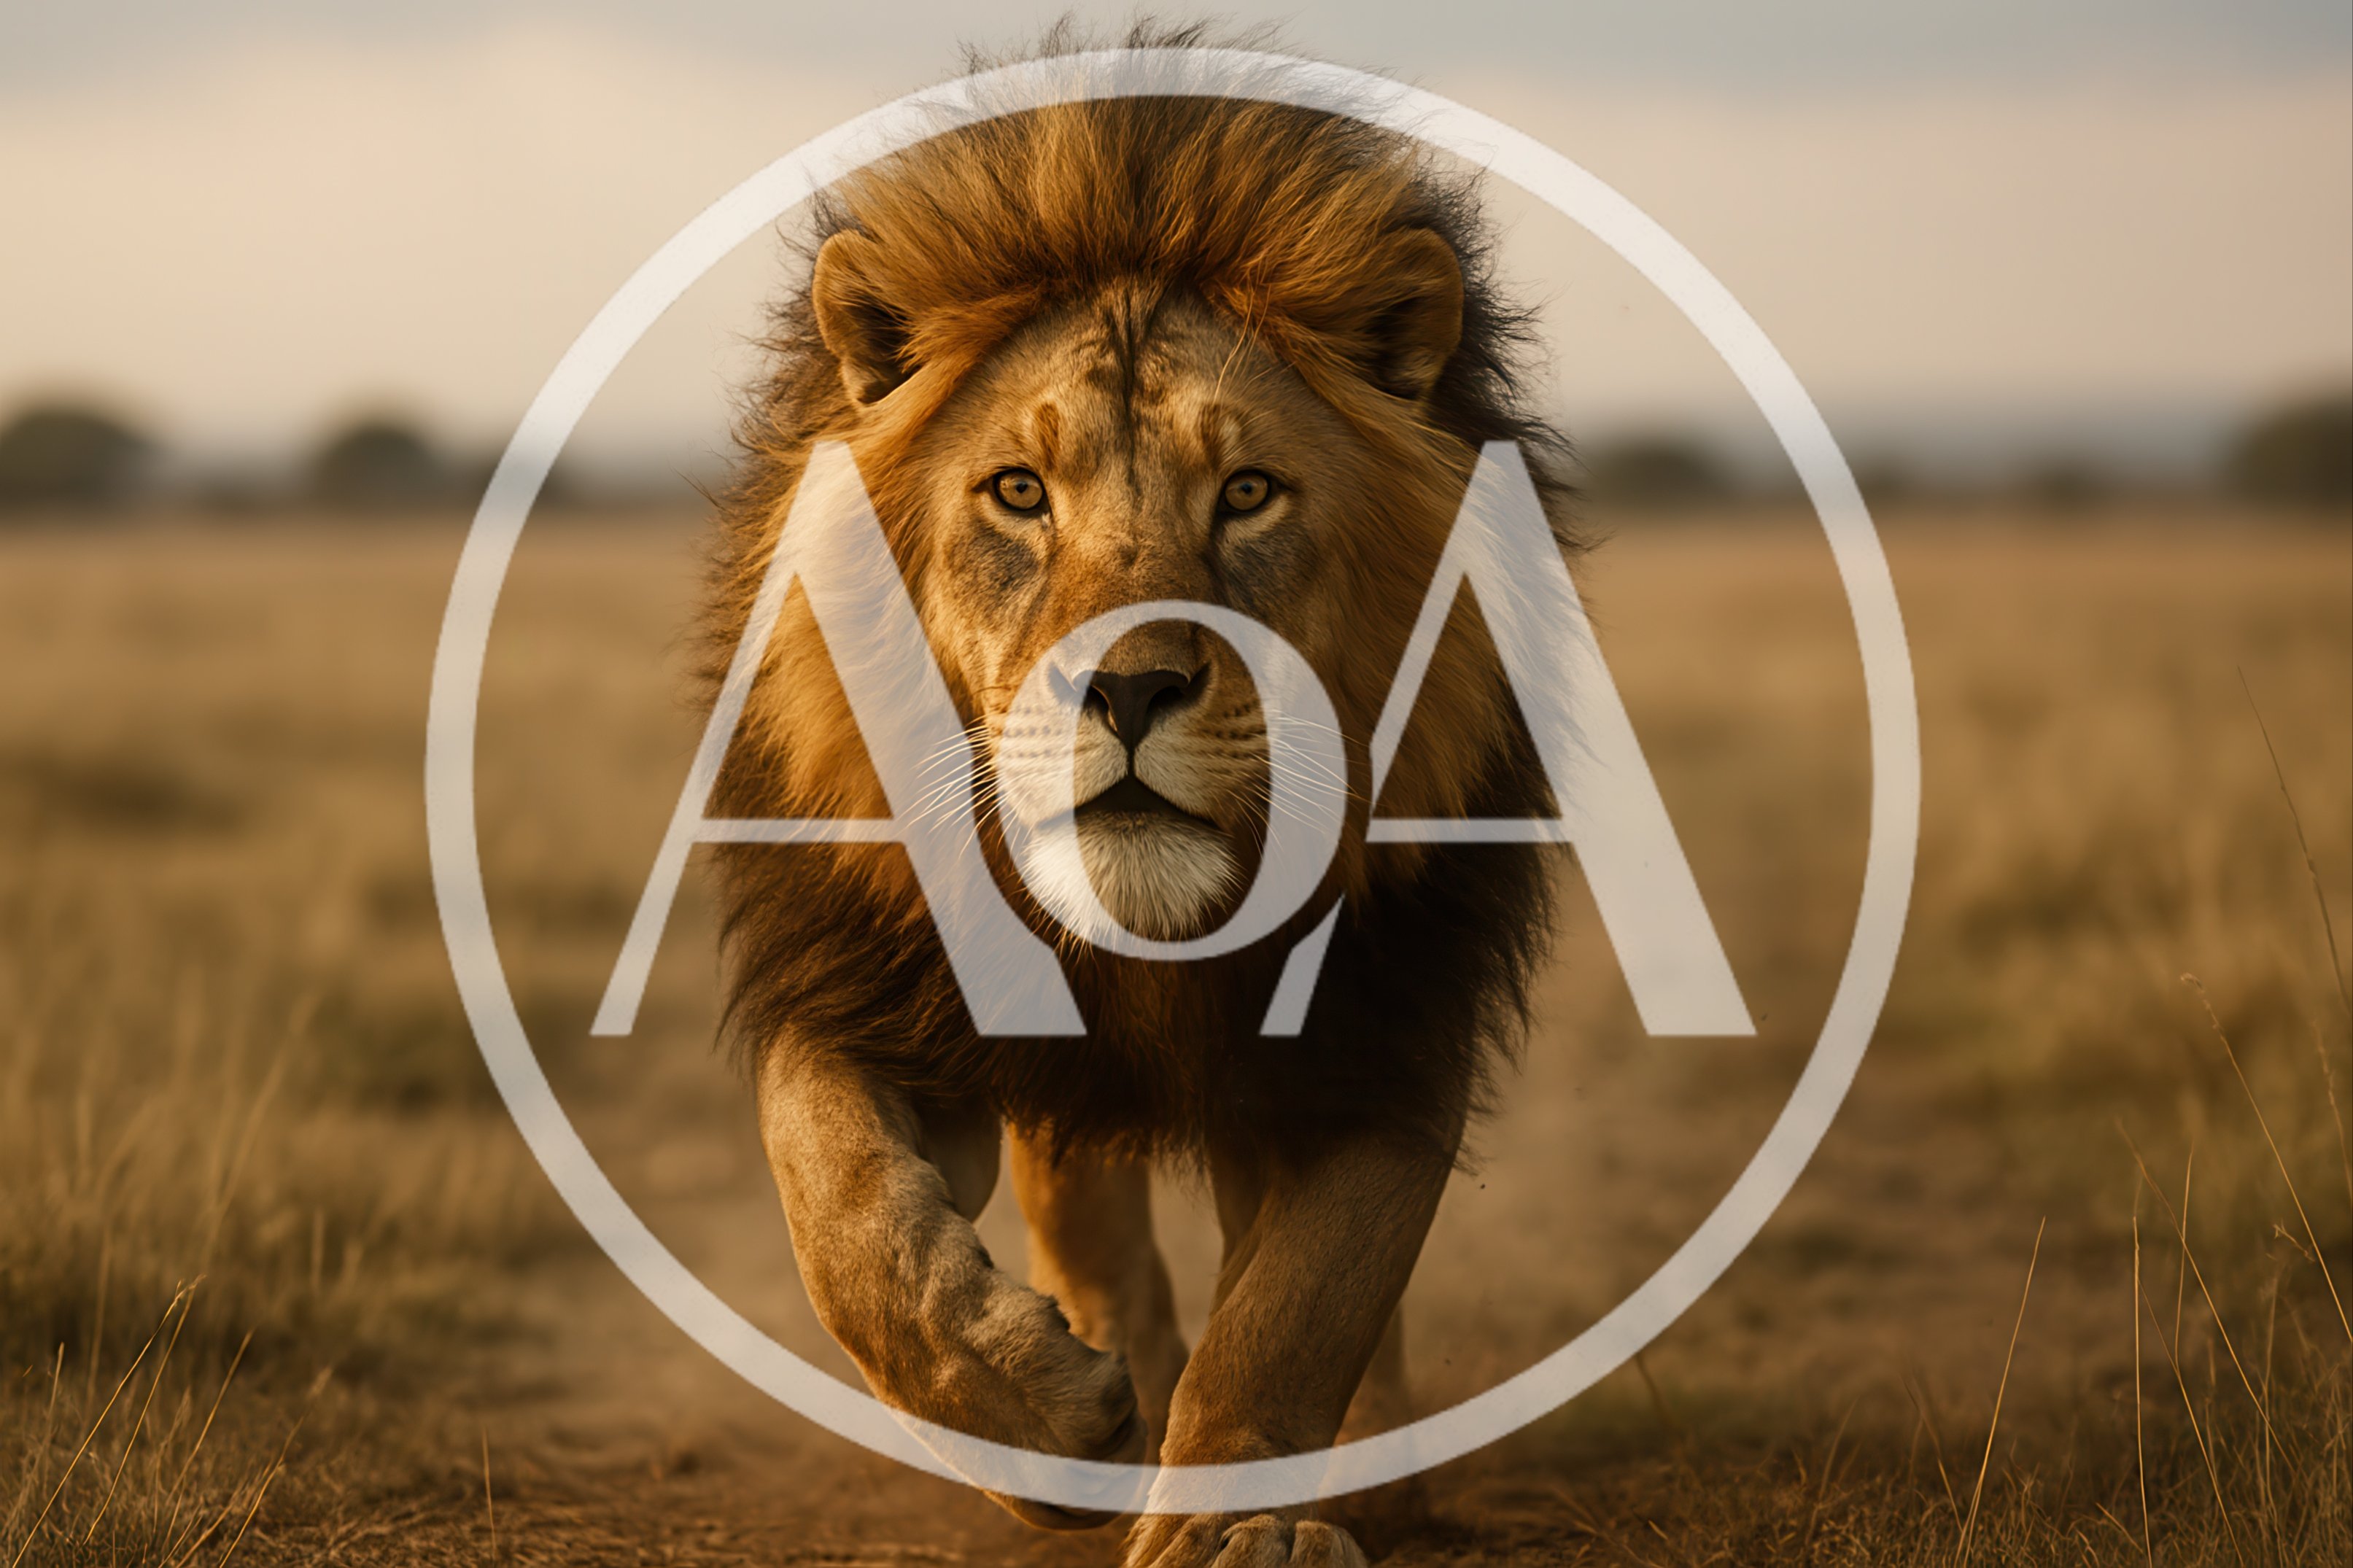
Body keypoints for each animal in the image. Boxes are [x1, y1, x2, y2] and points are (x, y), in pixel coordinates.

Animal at [705, 37, 1566, 1568]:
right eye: (1017, 493)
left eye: (1249, 492)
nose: (1126, 688)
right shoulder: (870, 989)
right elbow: (853, 1232)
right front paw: (1041, 1421)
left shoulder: (1382, 1030)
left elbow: (1296, 1310)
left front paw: (1236, 1525)